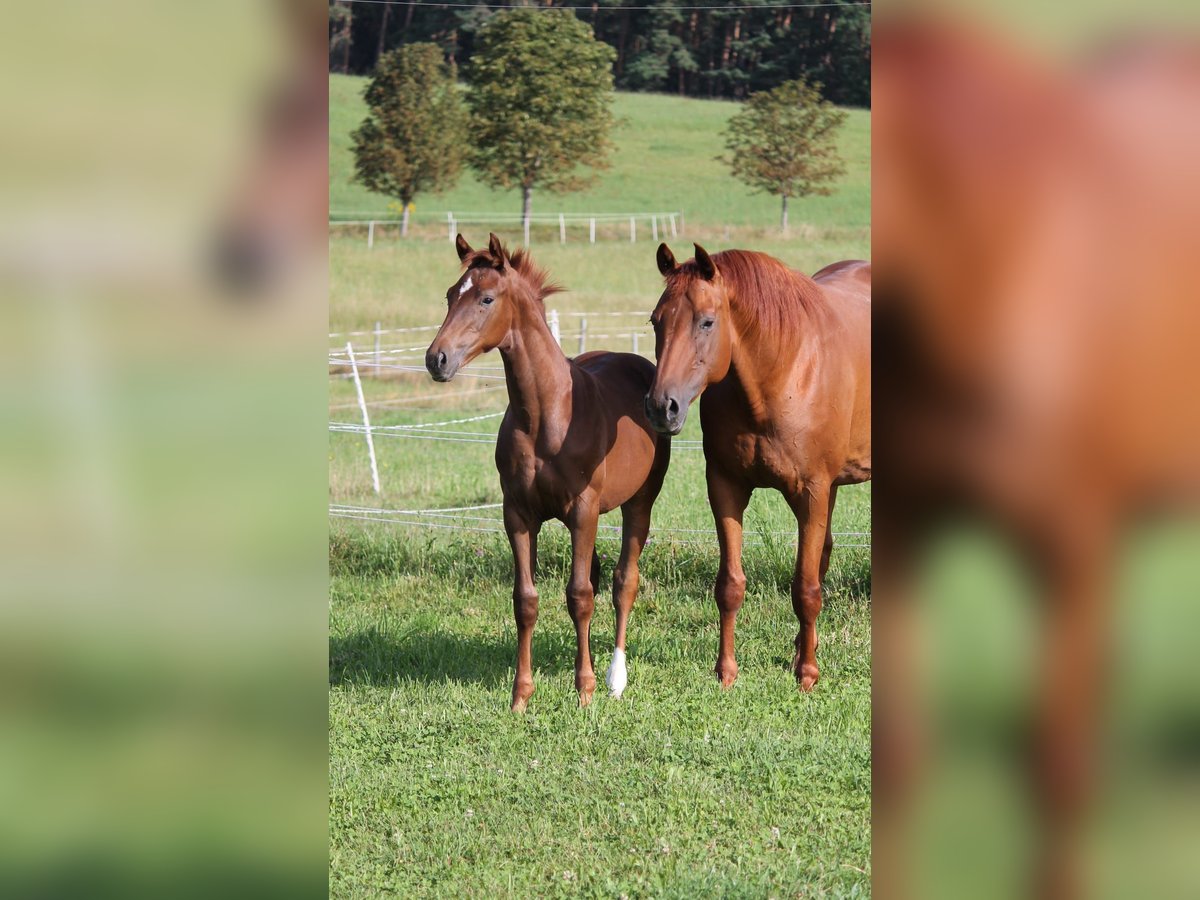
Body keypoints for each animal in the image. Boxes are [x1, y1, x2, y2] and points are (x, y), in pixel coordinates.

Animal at [422, 234, 672, 710]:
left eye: (486, 298)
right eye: (448, 296)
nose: (436, 360)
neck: (547, 415)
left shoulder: (583, 511)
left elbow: (580, 595)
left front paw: (585, 690)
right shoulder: (517, 514)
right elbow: (526, 600)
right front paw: (521, 696)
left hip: (639, 503)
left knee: (623, 582)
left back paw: (615, 678)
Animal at [648, 247, 873, 691]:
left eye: (707, 321)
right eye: (655, 320)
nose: (662, 407)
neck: (782, 373)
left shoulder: (811, 492)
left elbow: (805, 588)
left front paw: (807, 675)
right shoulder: (725, 487)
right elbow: (731, 585)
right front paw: (726, 671)